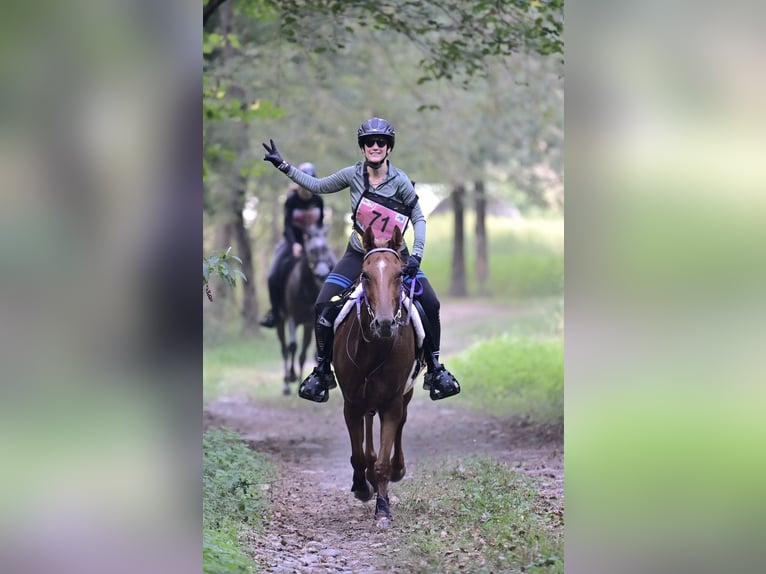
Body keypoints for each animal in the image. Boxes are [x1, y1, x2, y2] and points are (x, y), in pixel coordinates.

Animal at [276, 225, 336, 396]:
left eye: (326, 249)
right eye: (312, 250)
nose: (322, 274)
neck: (307, 287)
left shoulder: (309, 322)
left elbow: (304, 352)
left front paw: (300, 382)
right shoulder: (292, 318)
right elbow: (293, 346)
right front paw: (291, 376)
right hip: (280, 321)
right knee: (284, 349)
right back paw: (286, 384)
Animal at [334, 226, 420, 532]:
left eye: (399, 275)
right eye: (365, 275)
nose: (384, 324)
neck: (375, 348)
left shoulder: (392, 401)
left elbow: (384, 456)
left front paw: (382, 508)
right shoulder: (351, 402)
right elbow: (358, 454)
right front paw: (362, 486)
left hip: (403, 395)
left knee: (401, 423)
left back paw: (398, 468)